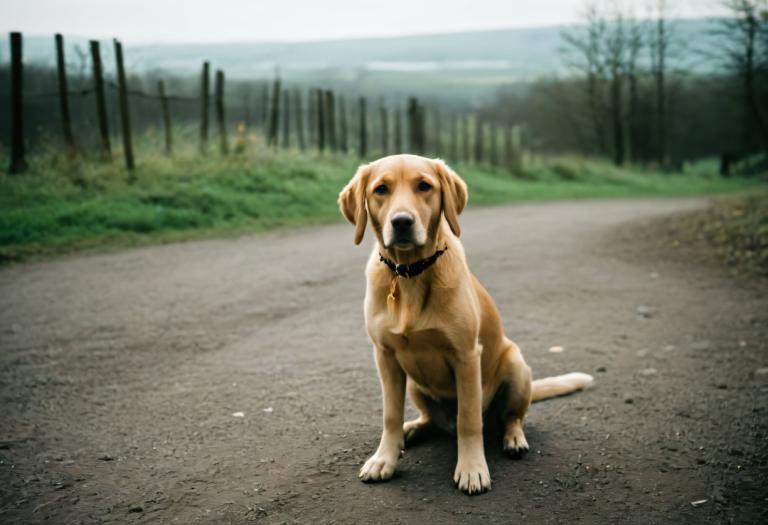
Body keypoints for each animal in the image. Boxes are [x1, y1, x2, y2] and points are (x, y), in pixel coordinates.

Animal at [340, 154, 596, 494]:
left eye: (424, 186)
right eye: (381, 189)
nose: (402, 222)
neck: (410, 273)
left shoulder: (466, 356)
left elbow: (469, 419)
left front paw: (472, 469)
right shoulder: (386, 357)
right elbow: (390, 416)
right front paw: (384, 459)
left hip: (516, 366)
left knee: (510, 417)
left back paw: (513, 439)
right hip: (417, 385)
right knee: (431, 419)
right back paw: (413, 428)